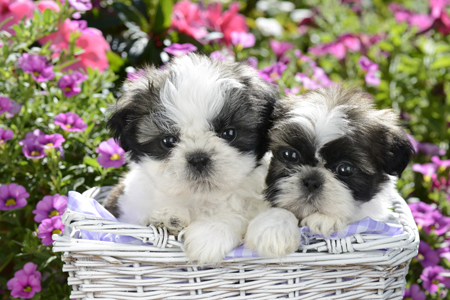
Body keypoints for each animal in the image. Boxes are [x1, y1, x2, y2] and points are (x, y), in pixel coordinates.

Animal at [104, 52, 278, 264]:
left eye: (229, 133)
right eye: (168, 141)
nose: (198, 158)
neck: (199, 198)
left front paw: (210, 235)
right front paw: (169, 217)